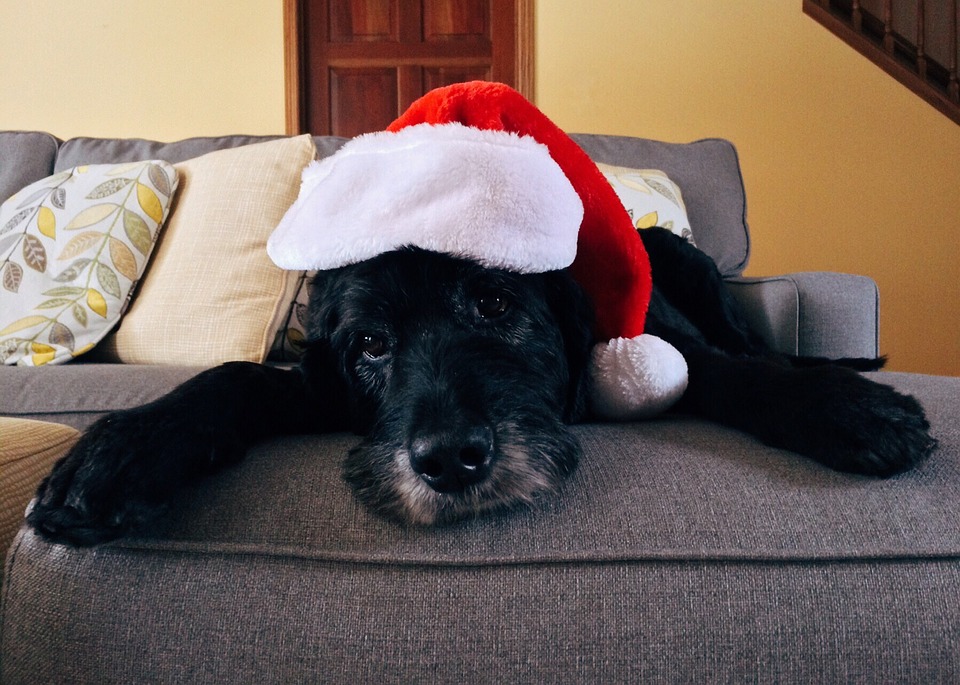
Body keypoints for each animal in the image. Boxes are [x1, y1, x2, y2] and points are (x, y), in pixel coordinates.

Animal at [28, 230, 936, 544]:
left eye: (496, 303)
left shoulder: (674, 350)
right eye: (371, 343)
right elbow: (237, 380)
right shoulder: (319, 384)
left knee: (749, 343)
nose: (450, 460)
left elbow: (739, 374)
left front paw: (851, 410)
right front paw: (117, 455)